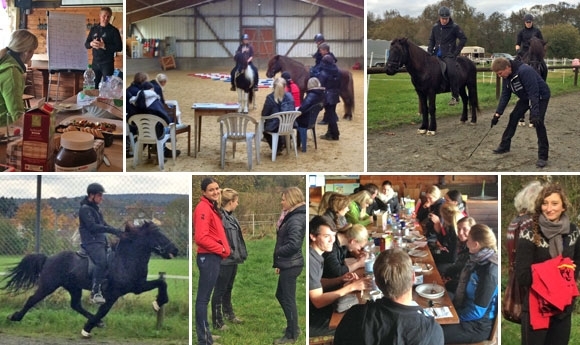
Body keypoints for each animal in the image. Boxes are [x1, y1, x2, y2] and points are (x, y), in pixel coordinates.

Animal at [1, 220, 178, 336]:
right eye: (157, 234)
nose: (175, 250)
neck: (126, 260)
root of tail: (48, 258)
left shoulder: (137, 287)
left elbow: (162, 283)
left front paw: (158, 303)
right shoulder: (113, 294)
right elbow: (103, 310)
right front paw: (86, 329)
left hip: (74, 287)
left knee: (75, 305)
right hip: (48, 285)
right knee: (32, 299)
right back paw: (15, 317)